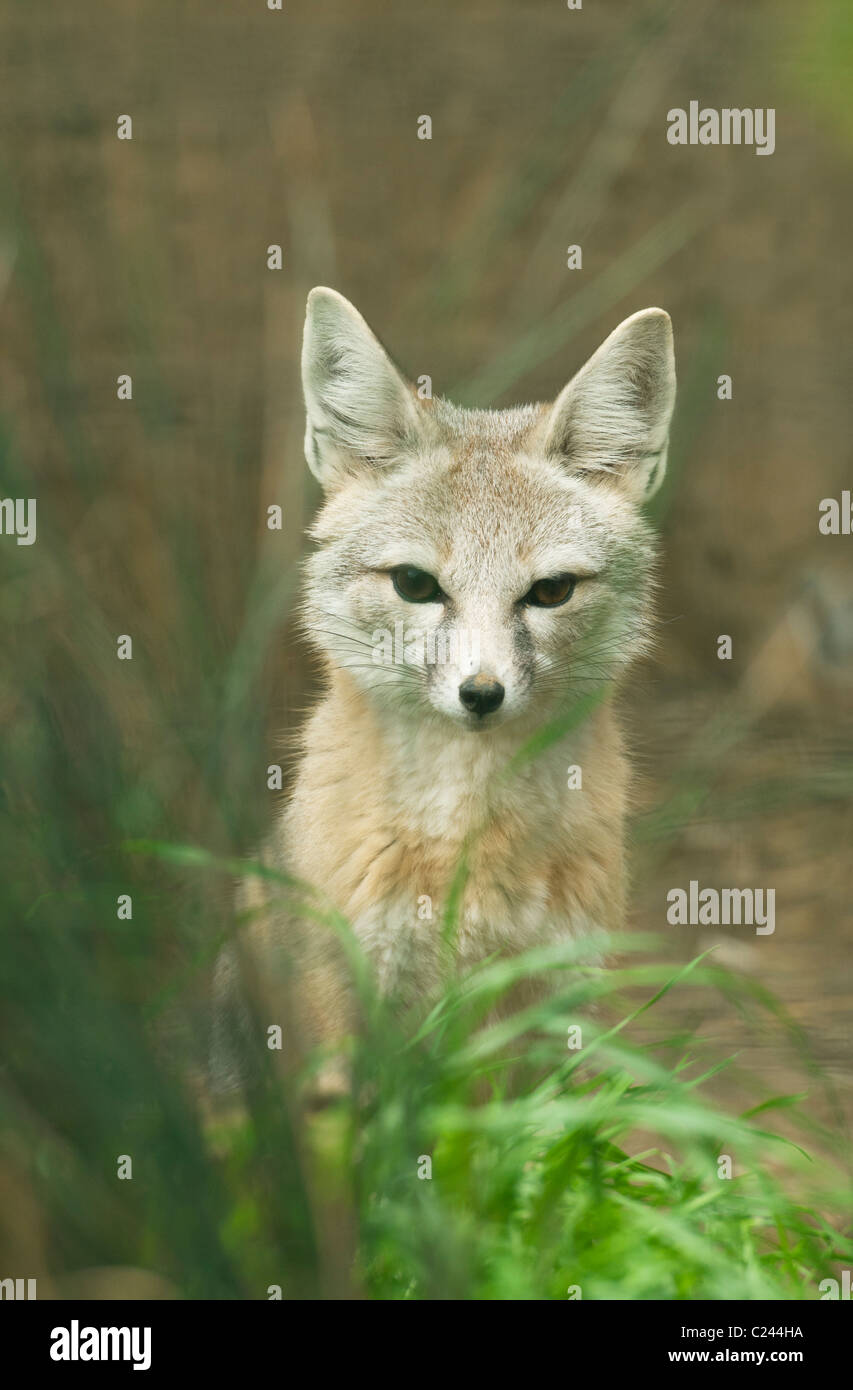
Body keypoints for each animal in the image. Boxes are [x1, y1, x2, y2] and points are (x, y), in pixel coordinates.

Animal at [219, 287, 675, 1100]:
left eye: (550, 592)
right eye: (414, 584)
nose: (481, 693)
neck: (471, 840)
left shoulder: (549, 1009)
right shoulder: (338, 1012)